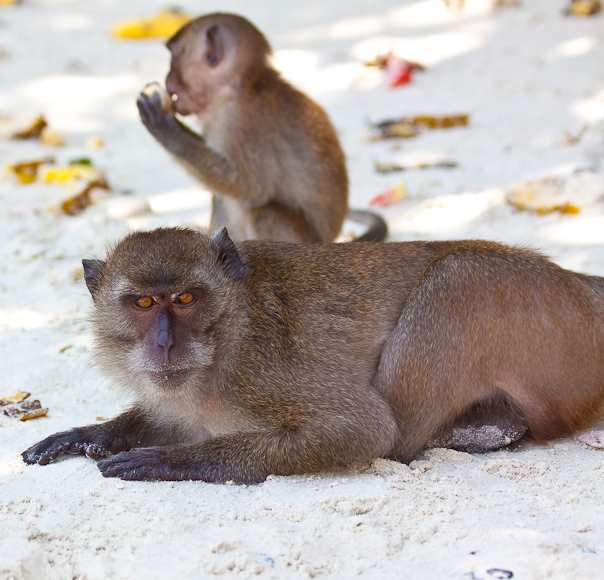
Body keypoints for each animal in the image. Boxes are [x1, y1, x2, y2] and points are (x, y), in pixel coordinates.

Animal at [21, 229, 604, 482]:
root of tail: (578, 285)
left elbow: (361, 428)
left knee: (456, 276)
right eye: (143, 303)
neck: (230, 332)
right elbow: (169, 418)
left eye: (185, 299)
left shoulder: (258, 372)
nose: (165, 343)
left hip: (527, 312)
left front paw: (170, 461)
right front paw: (88, 435)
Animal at [137, 11, 386, 242]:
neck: (237, 89)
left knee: (266, 212)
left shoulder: (241, 124)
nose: (168, 79)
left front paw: (167, 131)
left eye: (174, 57)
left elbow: (252, 188)